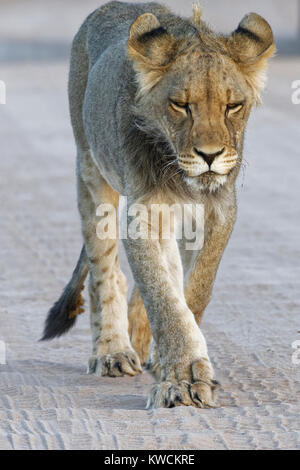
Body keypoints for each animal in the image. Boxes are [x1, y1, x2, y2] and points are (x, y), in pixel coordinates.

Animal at [41, 1, 274, 408]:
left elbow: (193, 290)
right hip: (90, 170)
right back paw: (113, 352)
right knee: (105, 269)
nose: (209, 156)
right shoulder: (144, 214)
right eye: (181, 105)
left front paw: (172, 366)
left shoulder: (220, 210)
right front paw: (183, 379)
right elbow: (163, 296)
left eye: (233, 106)